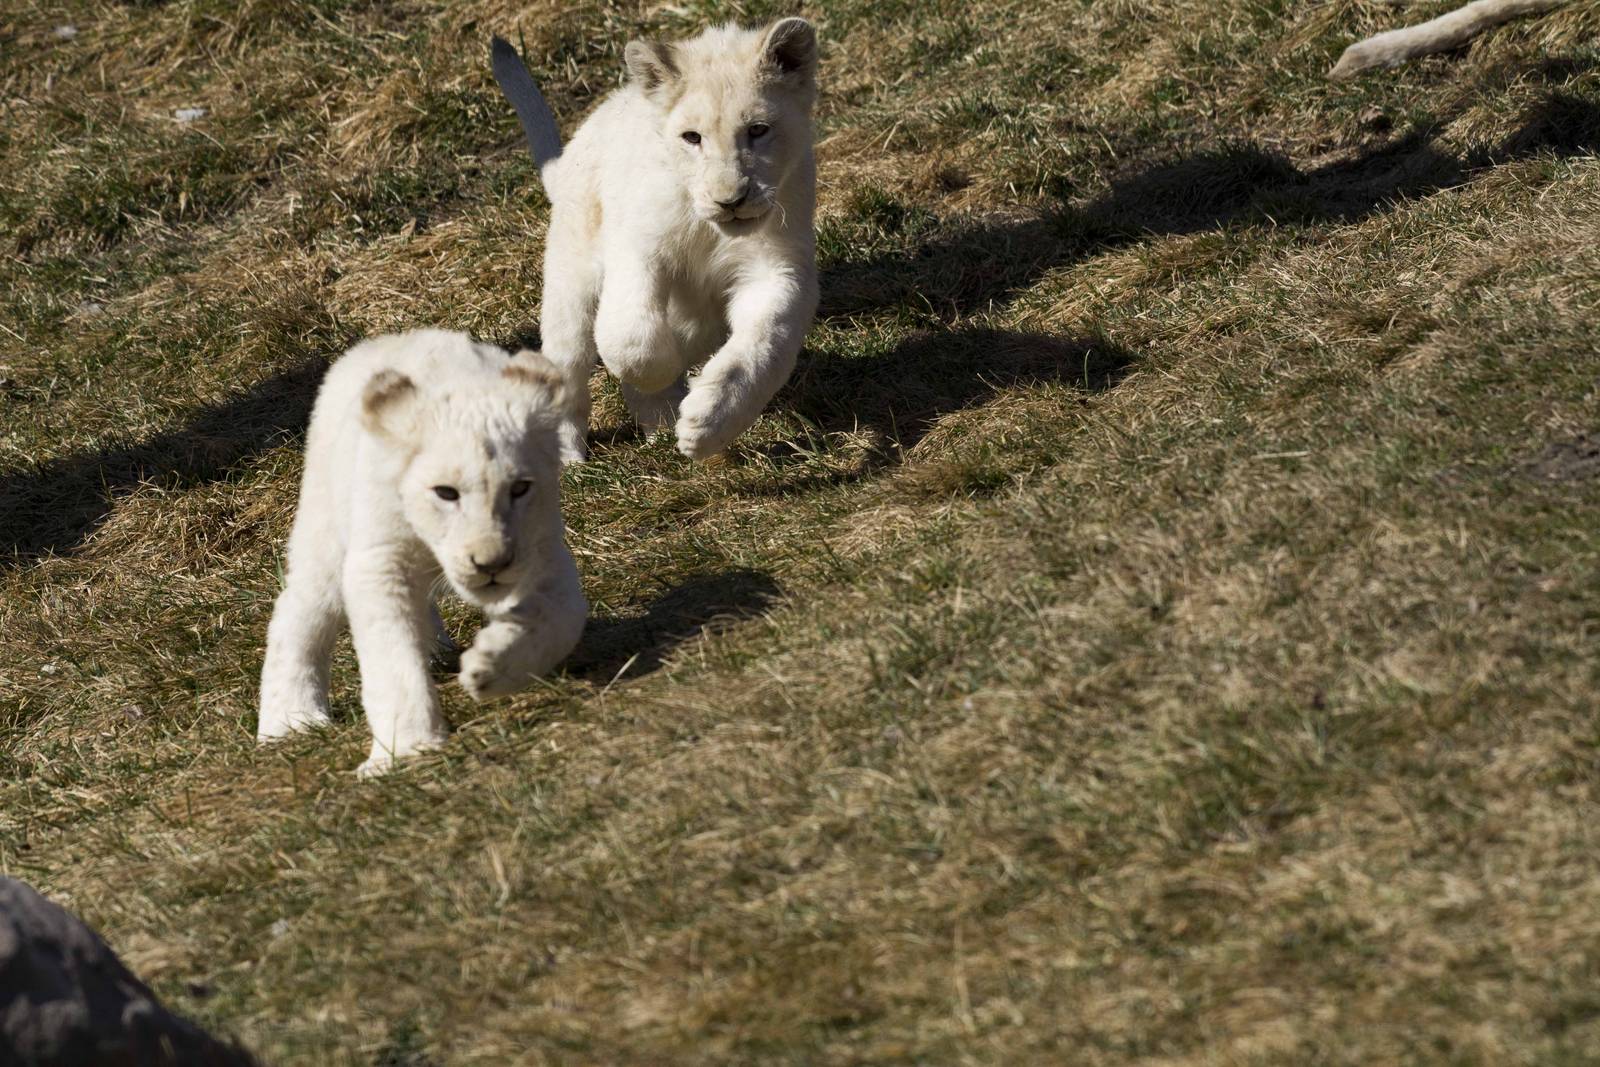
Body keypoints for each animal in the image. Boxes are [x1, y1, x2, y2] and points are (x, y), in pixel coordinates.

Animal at [256, 329, 587, 777]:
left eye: (520, 488)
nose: (491, 565)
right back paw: (292, 721)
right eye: (446, 492)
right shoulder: (379, 558)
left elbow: (564, 615)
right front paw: (407, 750)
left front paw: (491, 669)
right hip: (325, 519)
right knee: (300, 609)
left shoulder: (541, 545)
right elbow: (391, 656)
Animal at [492, 18, 821, 462]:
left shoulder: (776, 270)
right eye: (692, 137)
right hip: (570, 281)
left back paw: (663, 425)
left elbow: (760, 350)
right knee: (569, 365)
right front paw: (659, 376)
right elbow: (630, 339)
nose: (730, 201)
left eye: (758, 130)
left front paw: (705, 423)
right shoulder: (638, 249)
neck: (708, 229)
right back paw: (570, 456)